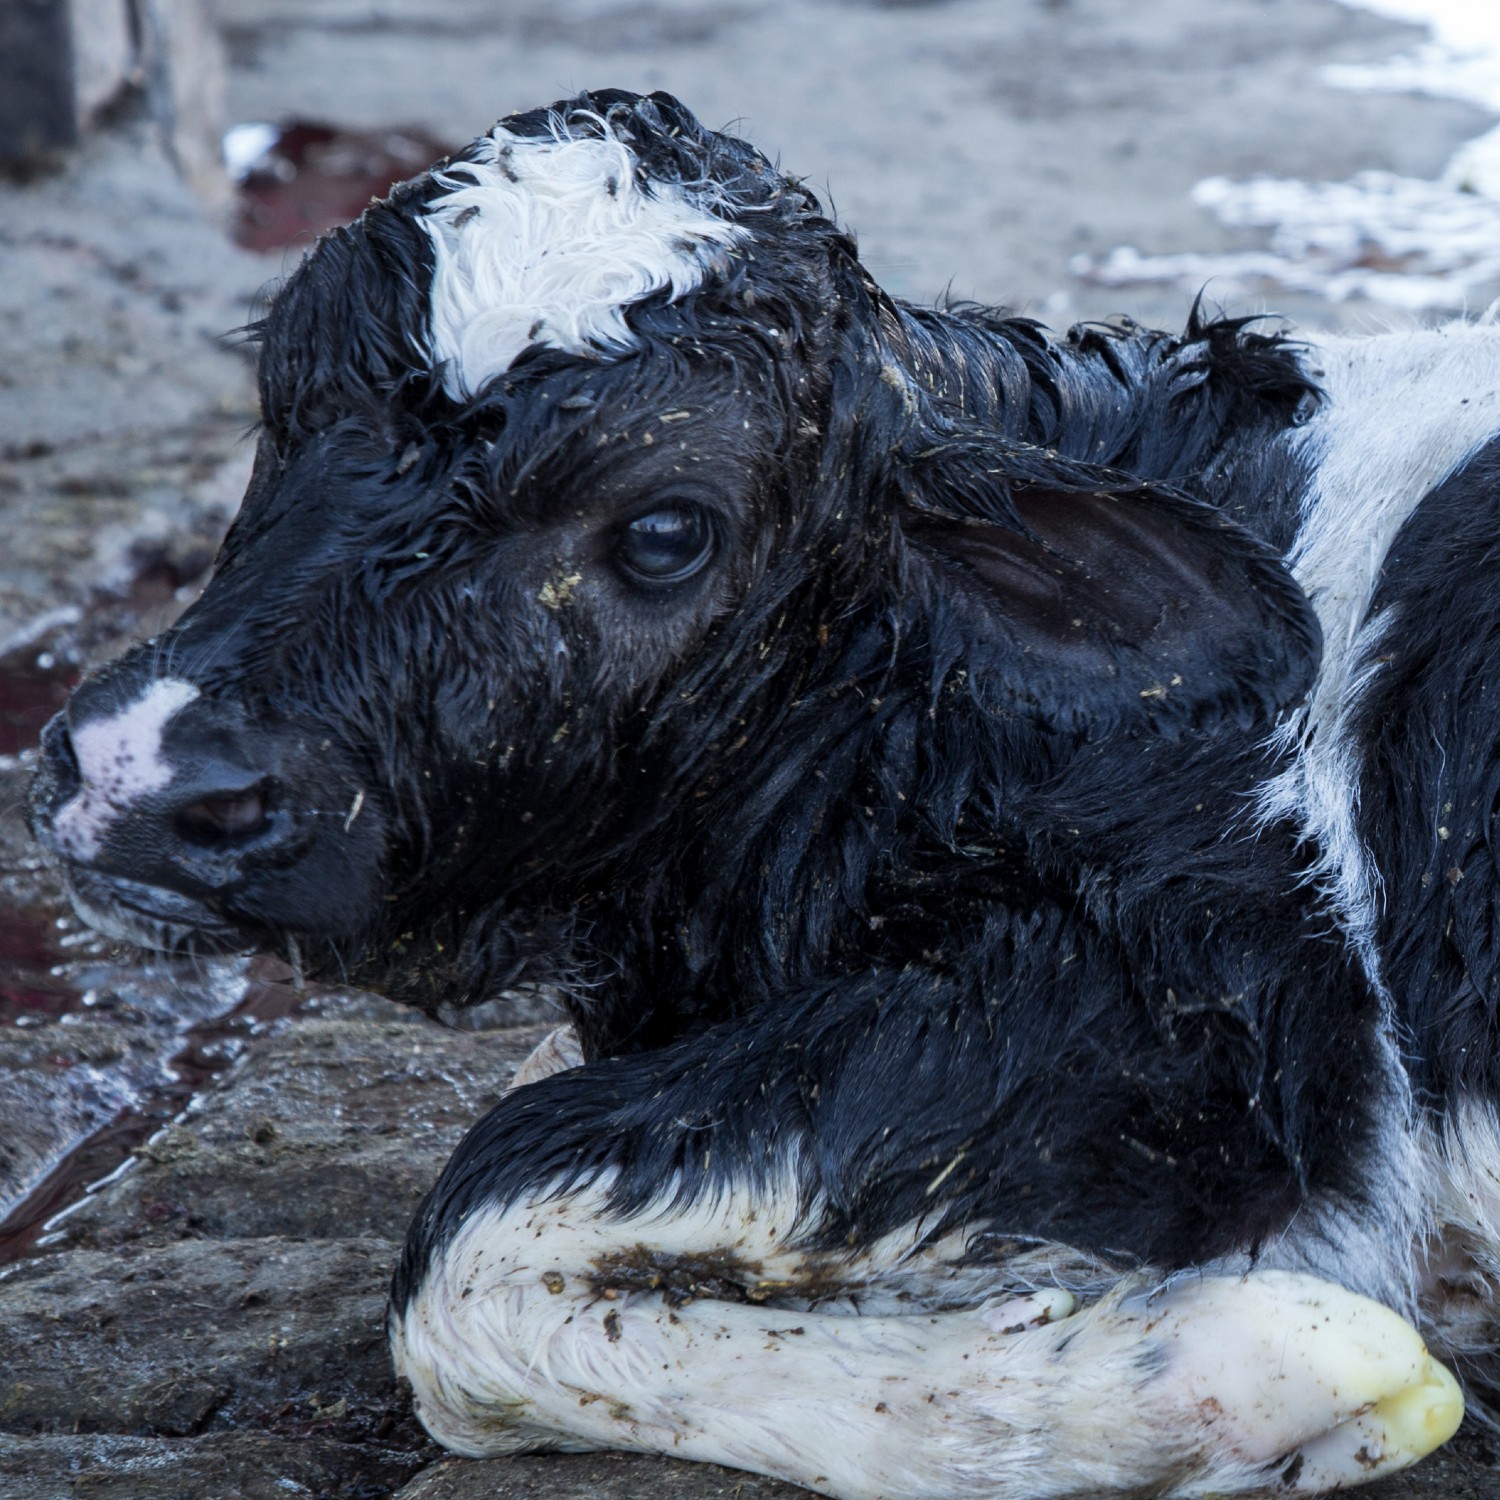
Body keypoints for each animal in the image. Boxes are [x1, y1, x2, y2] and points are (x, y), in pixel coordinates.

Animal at [29, 90, 1494, 1488]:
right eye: (284, 394)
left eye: (668, 529)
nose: (140, 774)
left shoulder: (1190, 1026)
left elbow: (477, 1220)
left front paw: (1223, 1377)